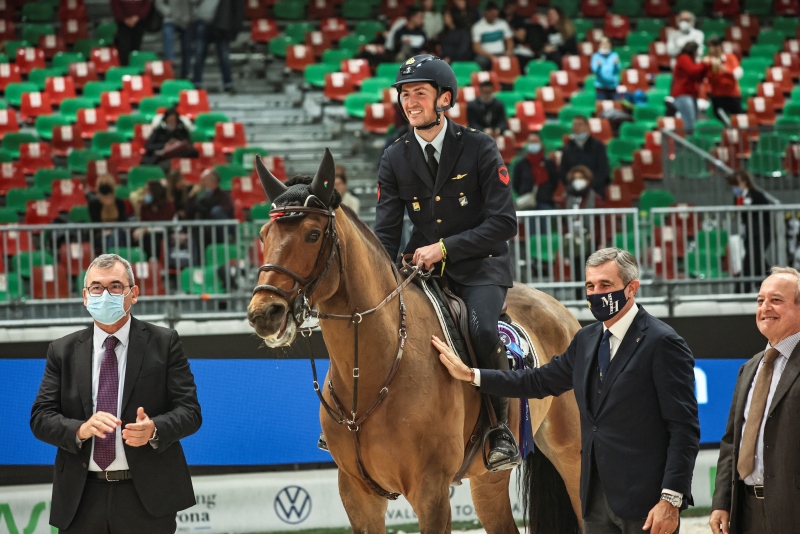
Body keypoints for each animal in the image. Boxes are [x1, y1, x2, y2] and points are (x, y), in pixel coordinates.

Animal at [247, 151, 584, 534]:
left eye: (313, 234)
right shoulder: (358, 496)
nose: (264, 313)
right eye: (264, 236)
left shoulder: (431, 493)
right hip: (488, 480)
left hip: (572, 457)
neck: (372, 372)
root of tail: (560, 310)